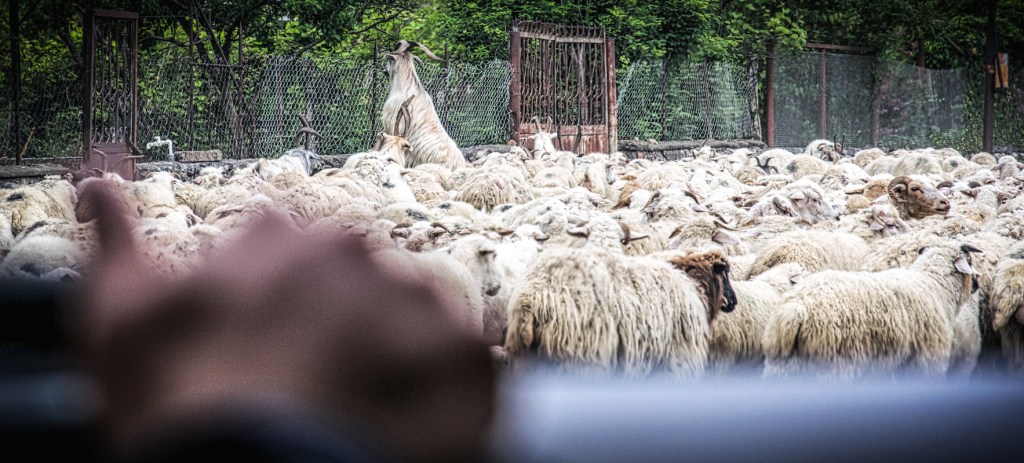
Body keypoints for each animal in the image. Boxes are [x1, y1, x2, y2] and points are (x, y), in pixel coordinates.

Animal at [762, 241, 981, 379]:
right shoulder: (926, 358)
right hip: (833, 363)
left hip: (785, 363)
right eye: (970, 260)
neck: (933, 284)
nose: (977, 283)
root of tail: (796, 309)